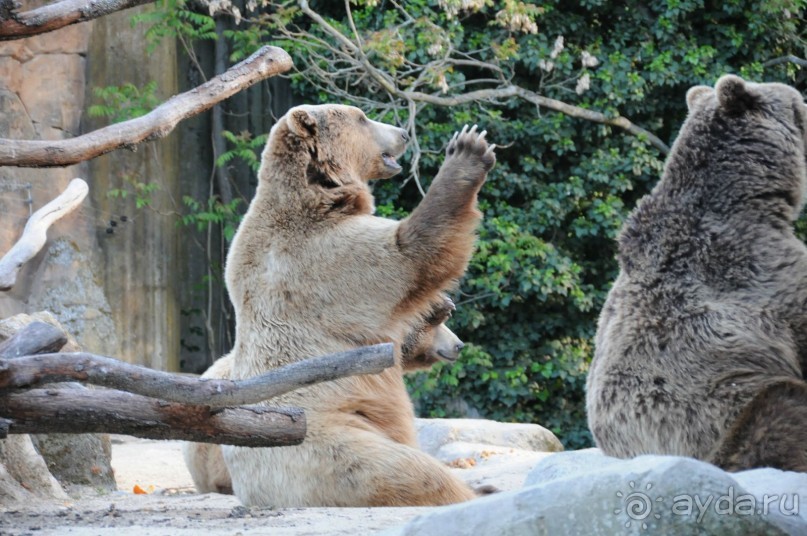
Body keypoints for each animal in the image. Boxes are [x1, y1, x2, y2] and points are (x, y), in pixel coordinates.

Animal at [218, 104, 492, 506]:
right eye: (362, 117)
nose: (403, 133)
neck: (318, 194)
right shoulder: (315, 260)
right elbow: (404, 255)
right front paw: (468, 148)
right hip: (333, 442)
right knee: (411, 469)